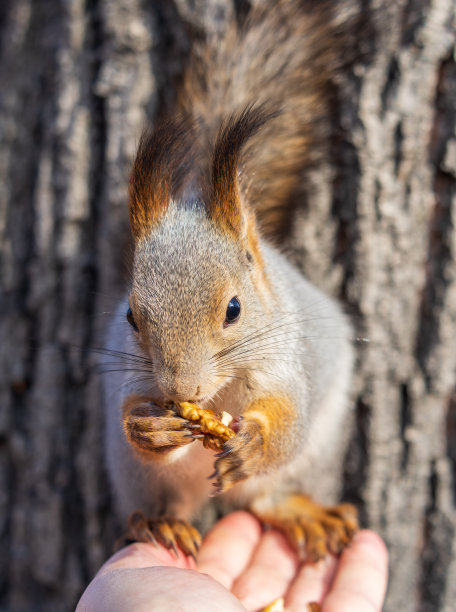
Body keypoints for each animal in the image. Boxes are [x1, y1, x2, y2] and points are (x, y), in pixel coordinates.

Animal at [103, 0, 360, 564]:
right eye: (131, 316)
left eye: (234, 309)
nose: (180, 389)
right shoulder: (136, 377)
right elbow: (133, 417)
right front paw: (150, 426)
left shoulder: (285, 362)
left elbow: (288, 420)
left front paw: (257, 444)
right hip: (137, 479)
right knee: (164, 499)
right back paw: (161, 523)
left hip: (317, 452)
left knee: (265, 499)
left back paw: (302, 514)